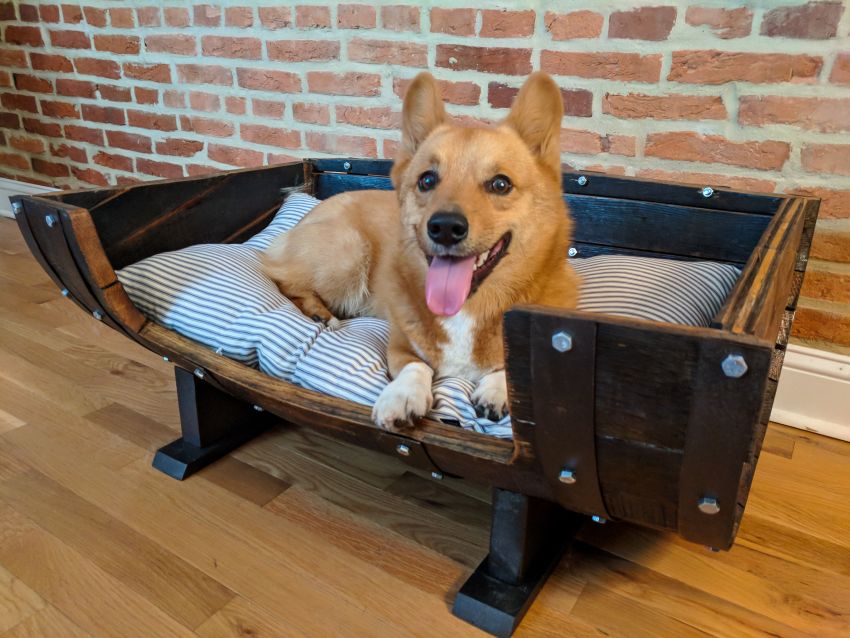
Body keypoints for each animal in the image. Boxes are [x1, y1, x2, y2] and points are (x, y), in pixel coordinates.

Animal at [260, 72, 576, 432]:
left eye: (500, 184)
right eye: (427, 180)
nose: (445, 228)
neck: (467, 309)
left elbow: (507, 367)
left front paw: (496, 390)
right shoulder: (398, 346)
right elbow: (416, 366)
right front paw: (403, 396)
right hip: (349, 252)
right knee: (281, 278)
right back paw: (319, 314)